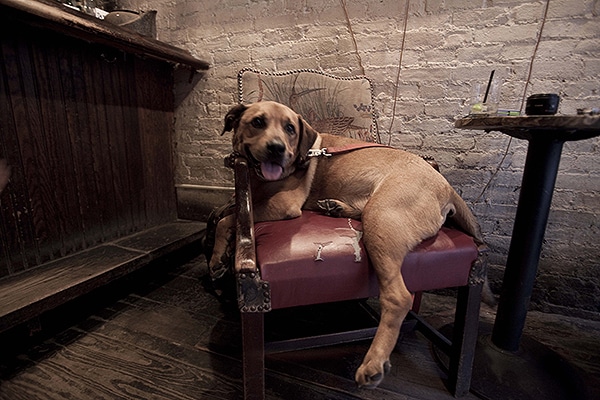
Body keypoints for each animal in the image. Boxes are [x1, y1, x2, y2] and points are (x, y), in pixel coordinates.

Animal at [211, 101, 488, 390]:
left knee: (399, 298)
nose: (277, 149)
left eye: (289, 128)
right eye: (257, 122)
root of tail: (447, 187)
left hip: (380, 219)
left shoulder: (282, 205)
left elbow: (228, 218)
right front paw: (221, 253)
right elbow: (225, 212)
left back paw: (374, 362)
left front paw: (217, 257)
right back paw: (335, 207)